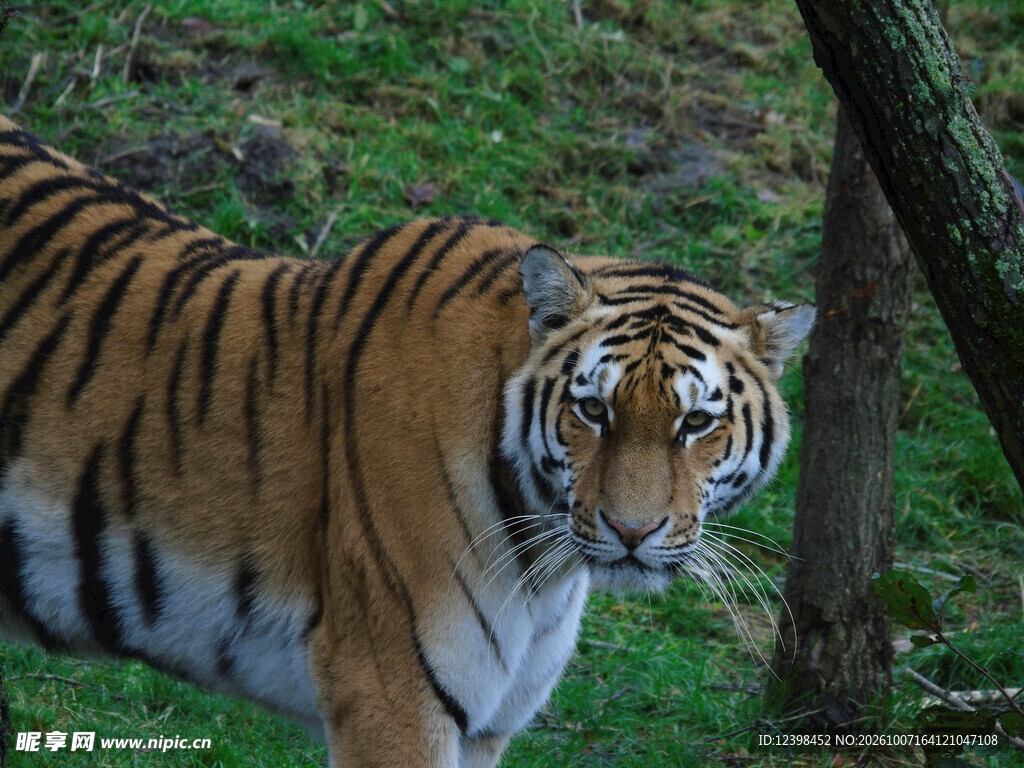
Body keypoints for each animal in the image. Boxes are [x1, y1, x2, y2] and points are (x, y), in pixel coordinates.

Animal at [0, 113, 813, 767]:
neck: (543, 566)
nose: (632, 532)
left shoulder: (486, 725)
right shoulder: (390, 692)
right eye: (592, 411)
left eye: (695, 423)